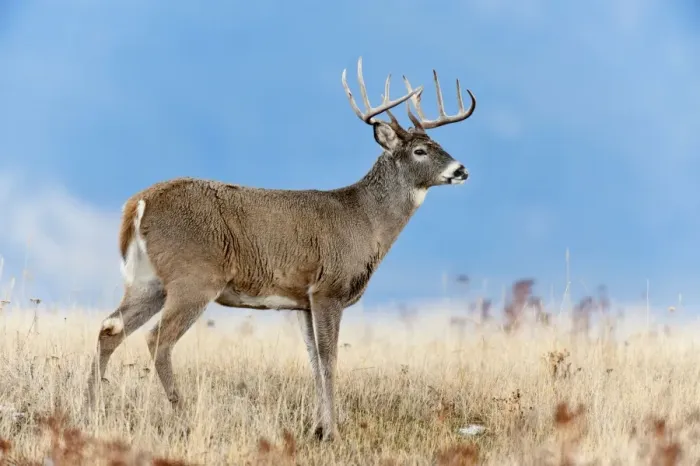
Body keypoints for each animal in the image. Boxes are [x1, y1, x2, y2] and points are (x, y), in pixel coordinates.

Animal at [86, 57, 476, 441]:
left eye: (439, 144)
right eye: (420, 150)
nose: (462, 170)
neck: (366, 219)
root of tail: (139, 203)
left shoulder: (301, 299)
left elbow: (313, 361)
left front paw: (319, 427)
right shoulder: (328, 289)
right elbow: (329, 360)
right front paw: (333, 433)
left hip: (148, 281)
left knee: (110, 329)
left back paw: (95, 404)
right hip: (194, 276)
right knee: (158, 340)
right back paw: (182, 419)